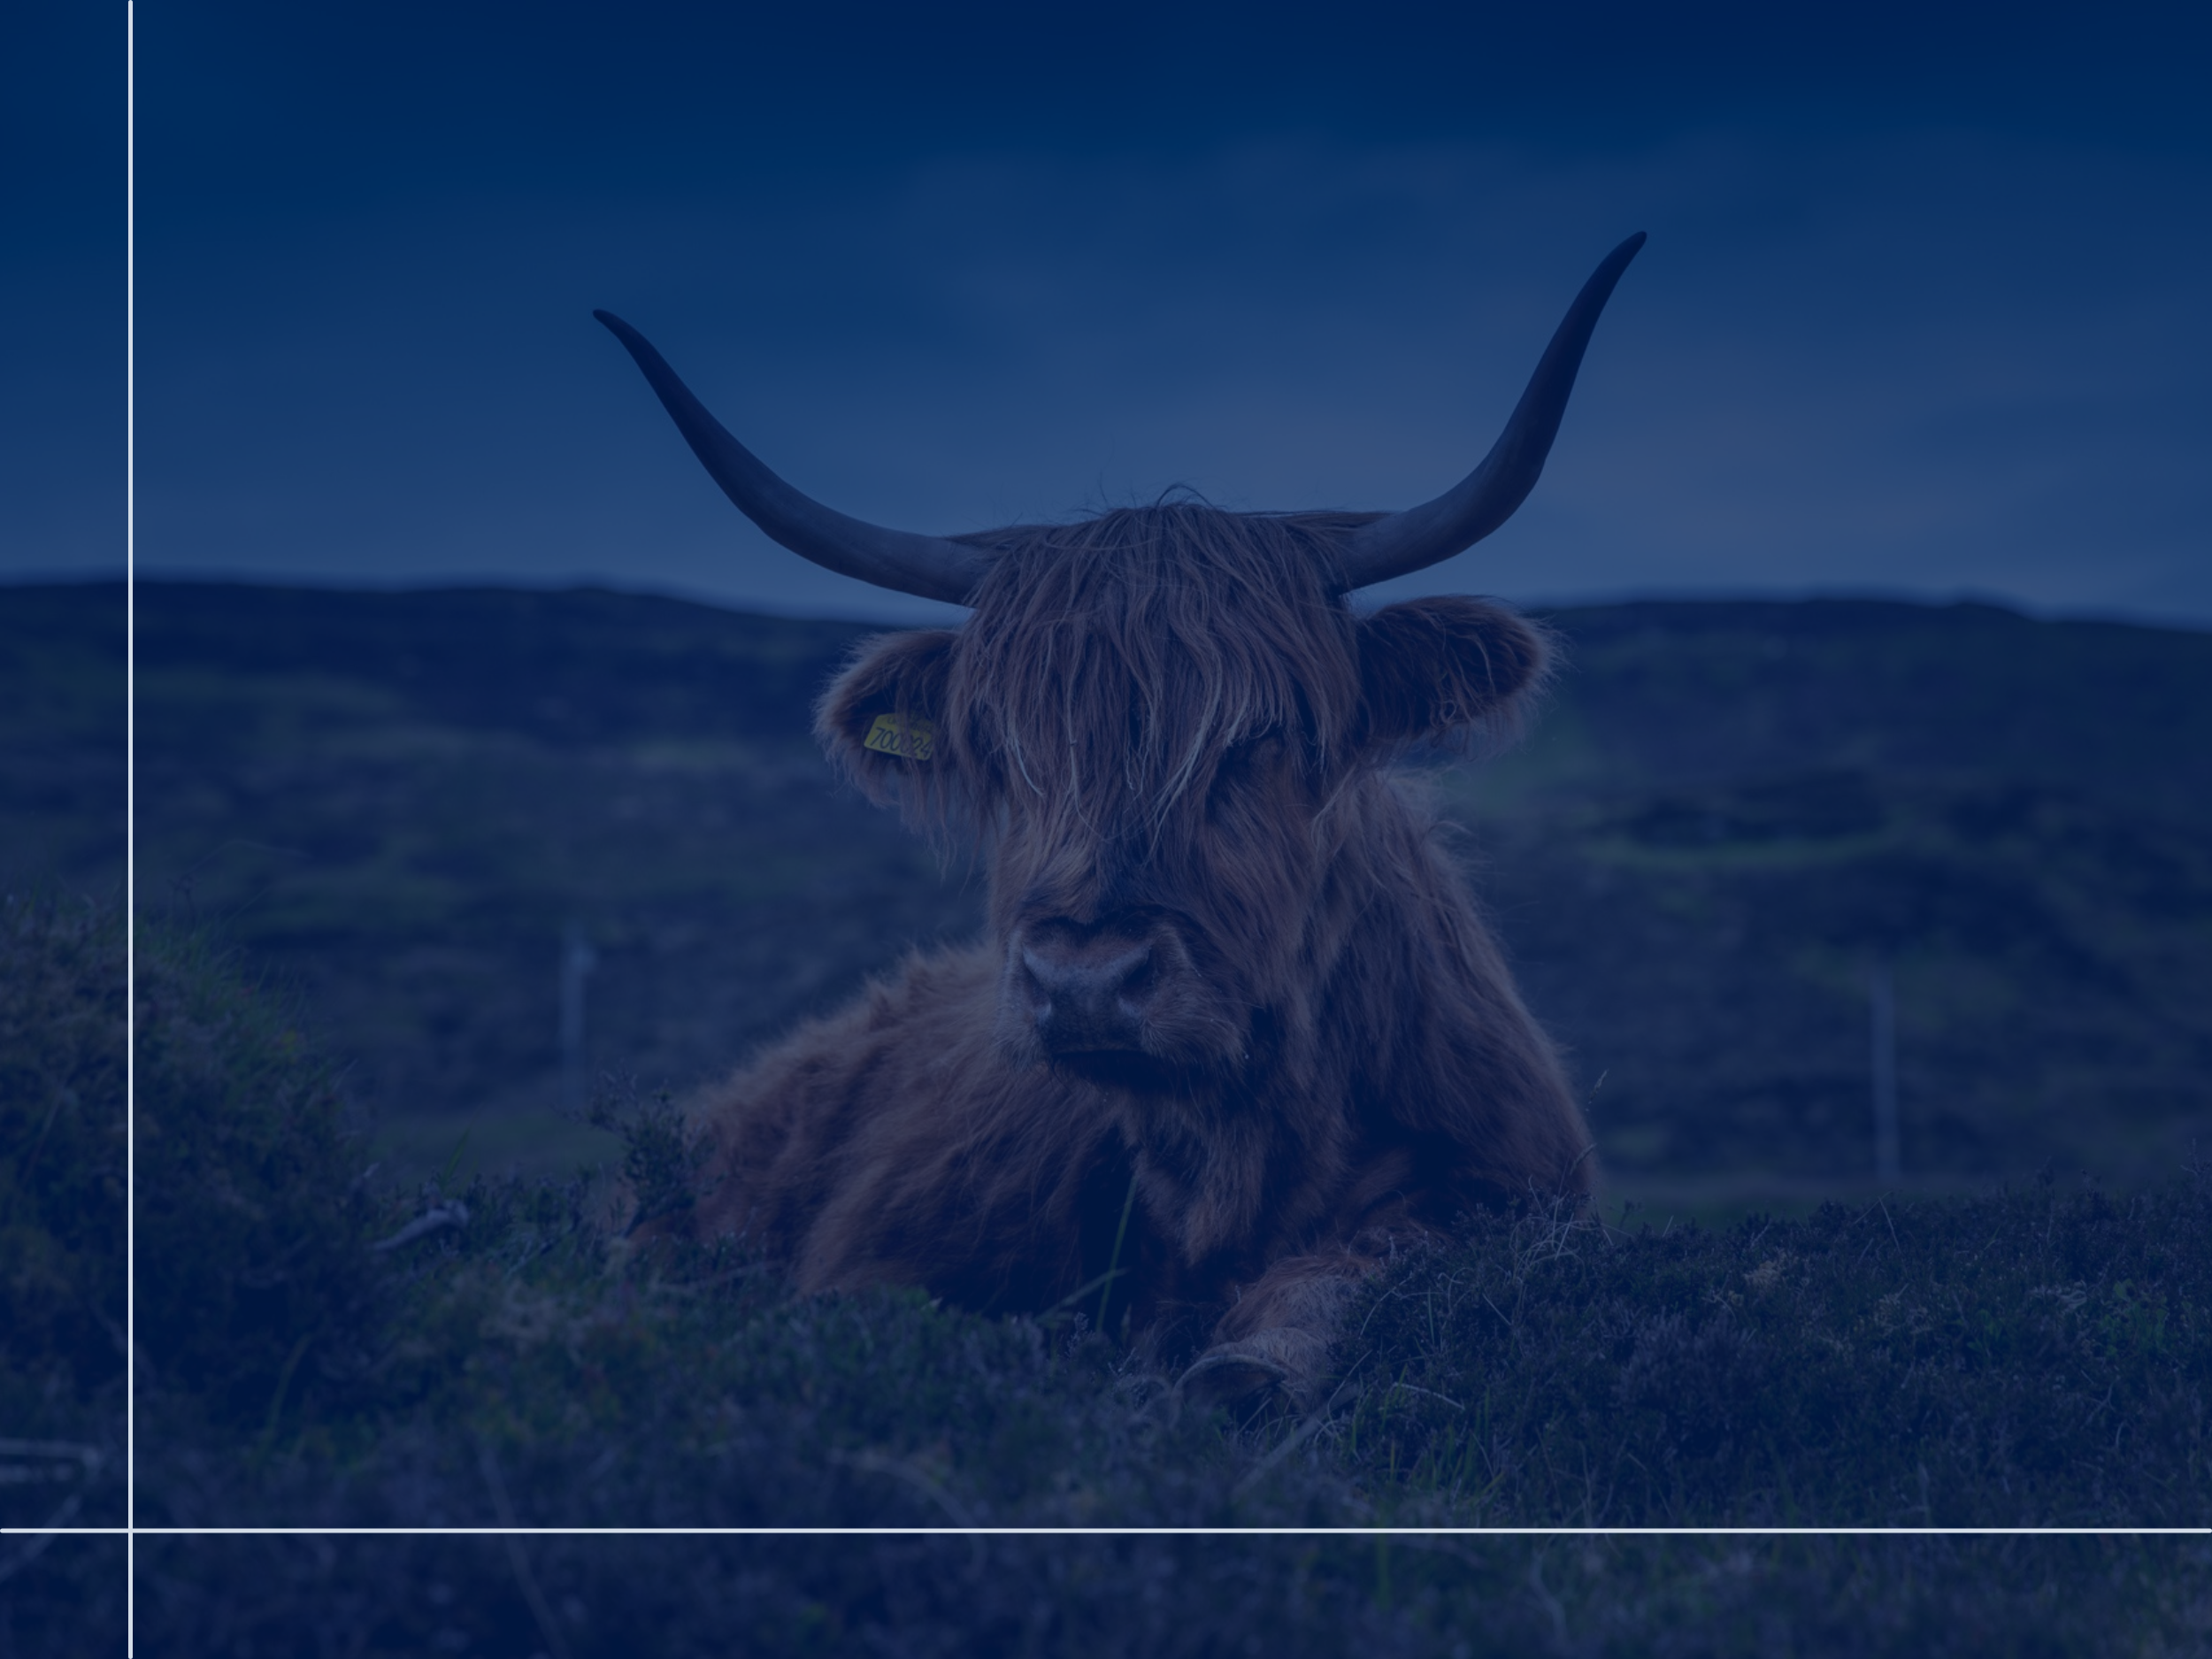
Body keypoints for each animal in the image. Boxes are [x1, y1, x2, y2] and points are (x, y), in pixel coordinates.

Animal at [602, 231, 1646, 1407]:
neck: (1231, 1166)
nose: (1084, 983)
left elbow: (1359, 1273)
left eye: (1264, 734)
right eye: (1002, 746)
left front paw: (1249, 1363)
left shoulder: (1502, 1198)